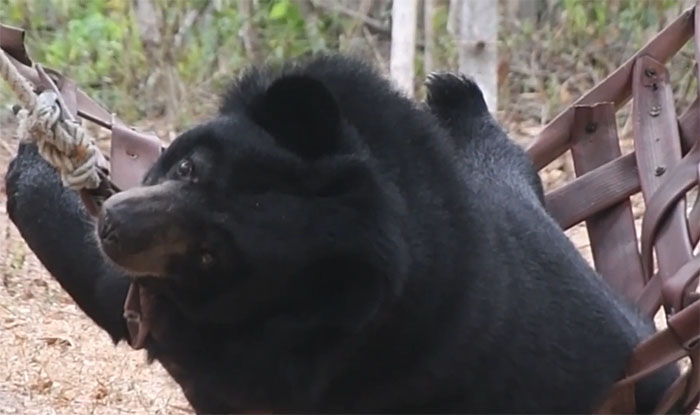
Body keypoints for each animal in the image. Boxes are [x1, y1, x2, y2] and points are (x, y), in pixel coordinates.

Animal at [5, 55, 678, 414]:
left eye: (210, 255)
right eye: (189, 168)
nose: (115, 225)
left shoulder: (256, 360)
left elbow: (111, 294)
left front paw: (37, 156)